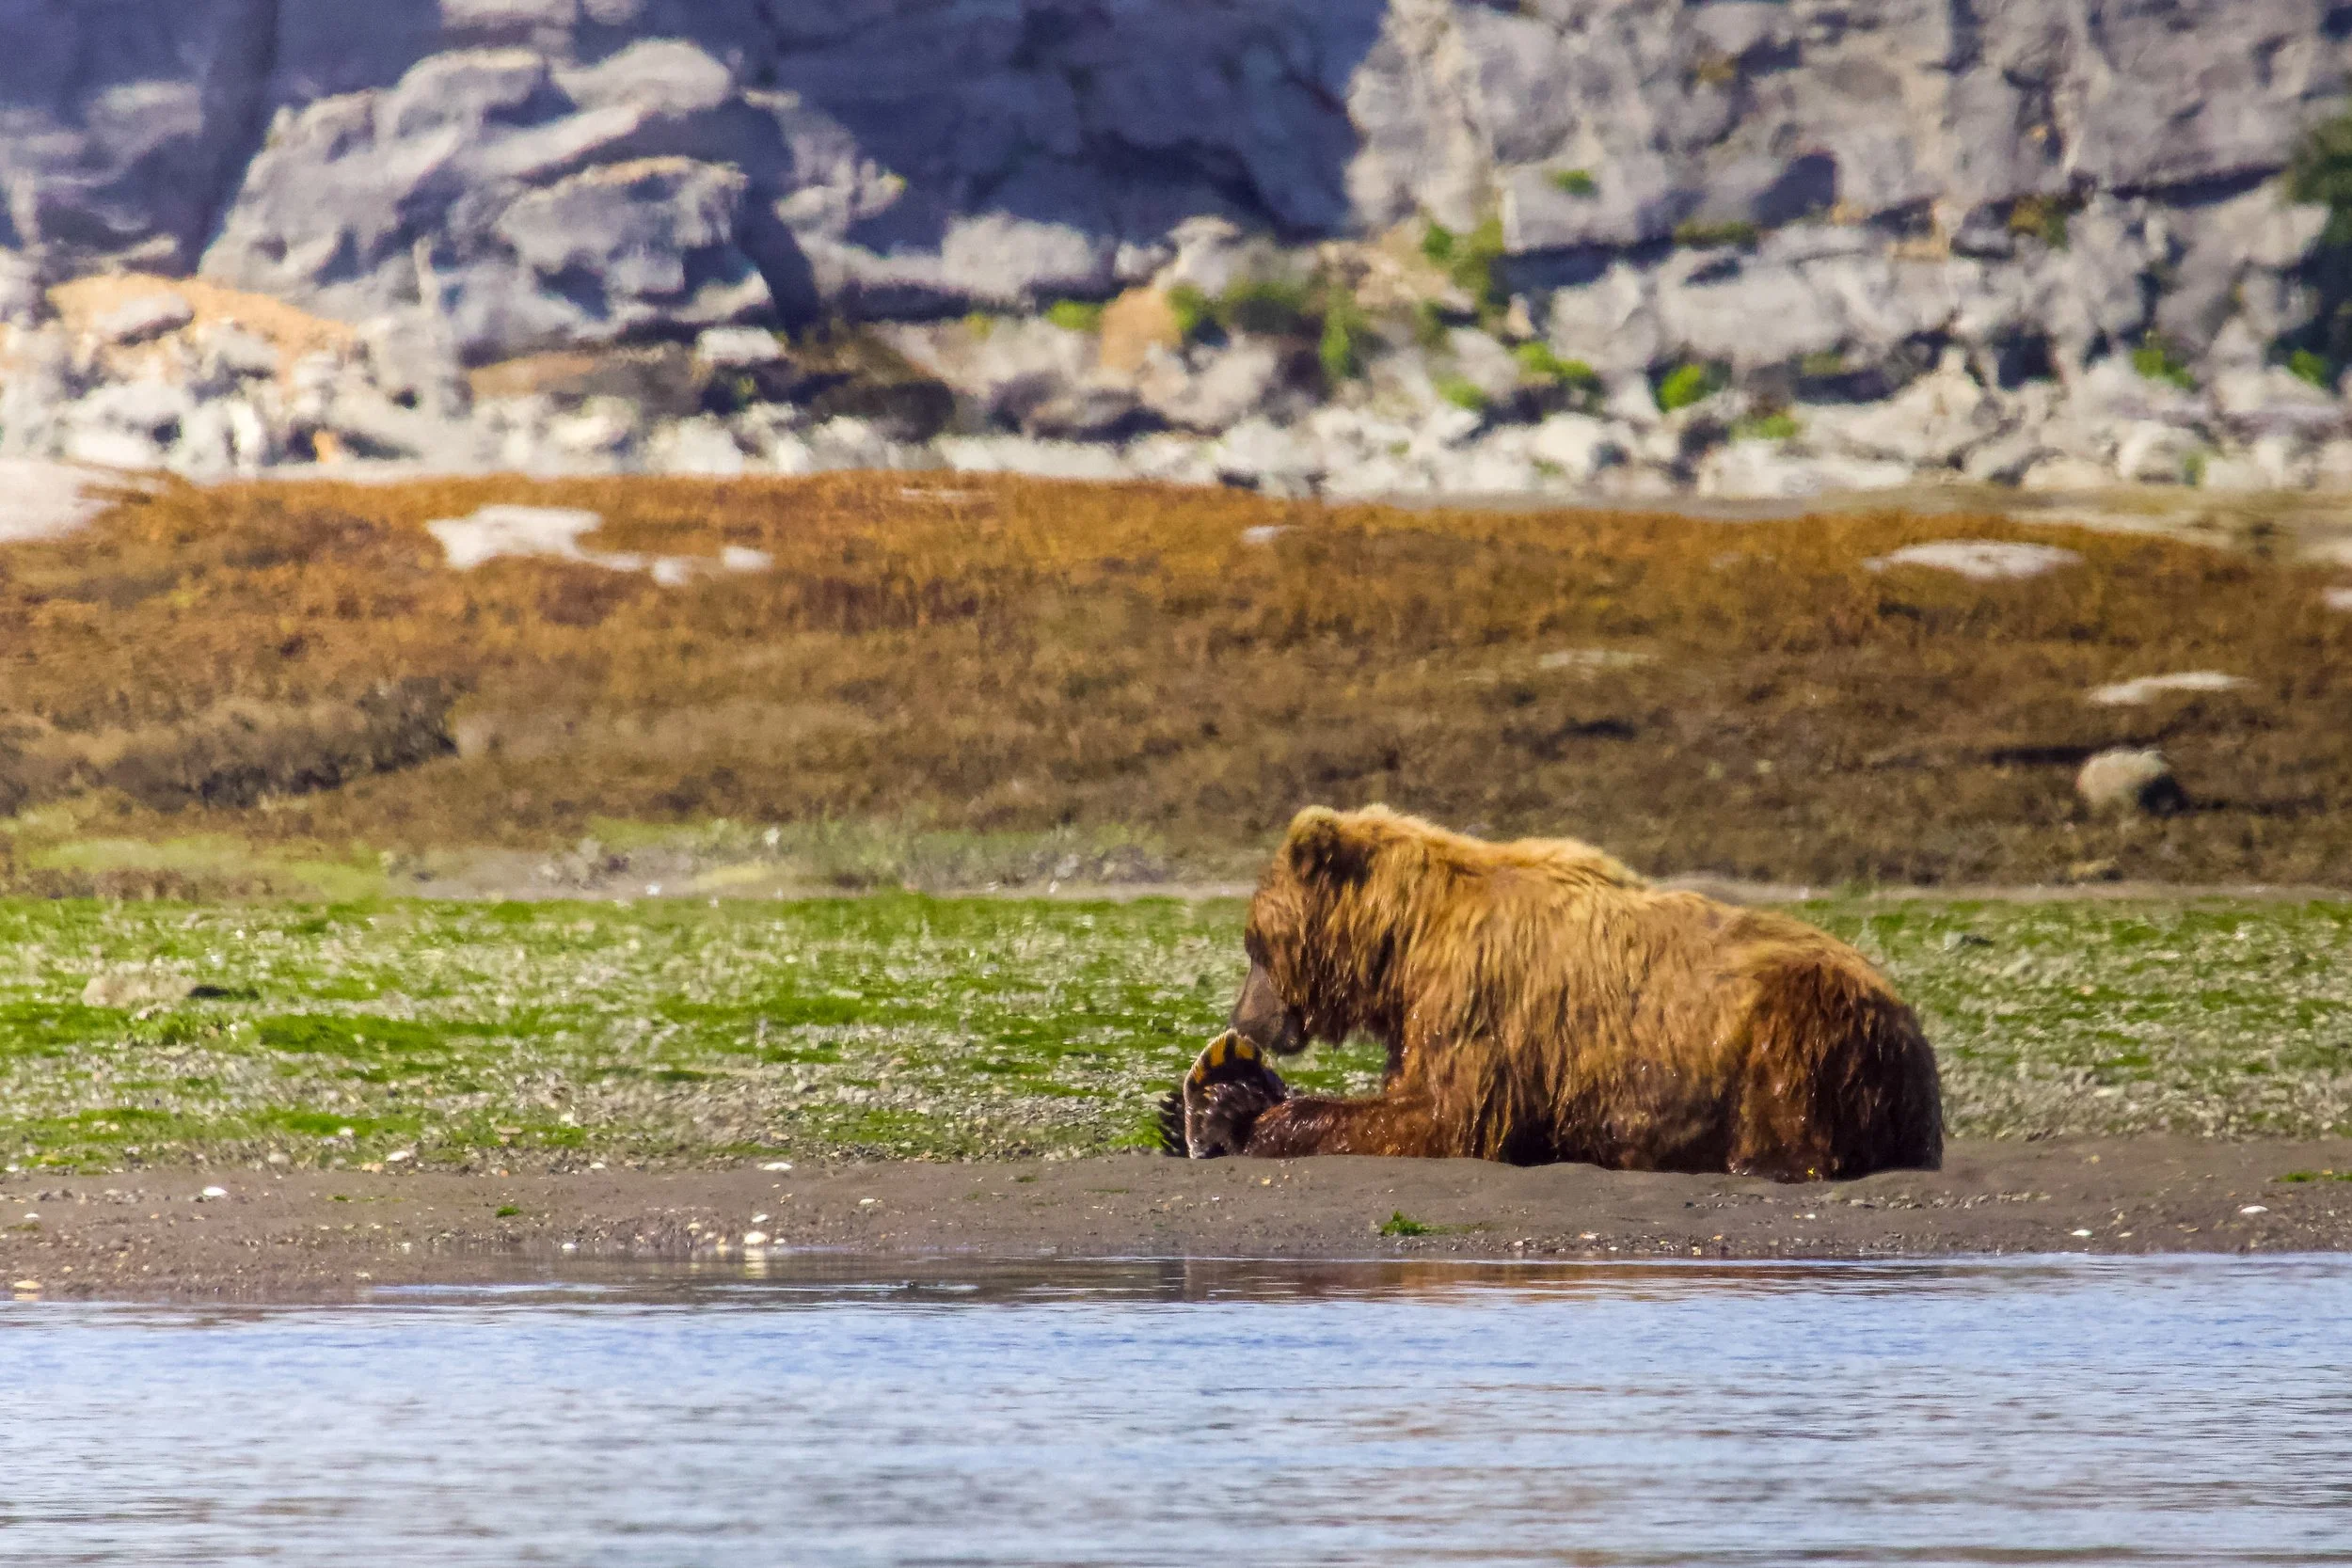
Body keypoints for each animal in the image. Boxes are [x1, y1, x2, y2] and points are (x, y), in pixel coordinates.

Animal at [1163, 806, 1942, 1181]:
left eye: (1253, 943)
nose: (1245, 1016)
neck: (1408, 938)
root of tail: (1912, 1028)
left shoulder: (1479, 997)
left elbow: (1444, 1116)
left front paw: (1244, 1115)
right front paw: (1208, 1098)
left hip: (1800, 1023)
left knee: (1788, 1109)